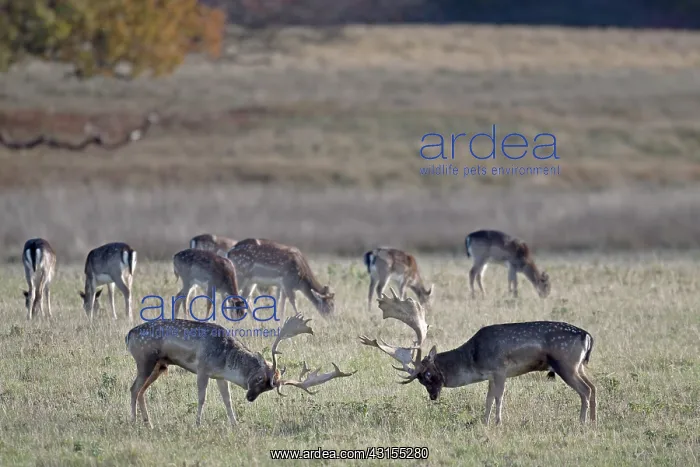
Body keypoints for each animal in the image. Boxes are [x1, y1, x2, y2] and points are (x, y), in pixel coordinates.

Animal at [126, 313, 355, 428]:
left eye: (268, 388)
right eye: (260, 378)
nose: (250, 397)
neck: (225, 358)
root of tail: (128, 336)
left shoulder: (219, 376)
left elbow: (227, 400)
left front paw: (235, 424)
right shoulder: (202, 368)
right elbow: (202, 398)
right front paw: (197, 424)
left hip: (159, 366)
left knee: (141, 391)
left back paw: (148, 423)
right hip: (145, 360)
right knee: (134, 388)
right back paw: (134, 423)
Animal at [359, 290, 597, 425]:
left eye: (427, 375)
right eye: (420, 381)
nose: (433, 397)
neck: (474, 359)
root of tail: (587, 336)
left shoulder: (500, 370)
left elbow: (499, 398)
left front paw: (498, 423)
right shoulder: (491, 375)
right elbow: (488, 399)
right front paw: (485, 422)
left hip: (566, 364)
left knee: (585, 390)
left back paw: (582, 423)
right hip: (579, 366)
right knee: (593, 387)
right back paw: (594, 422)